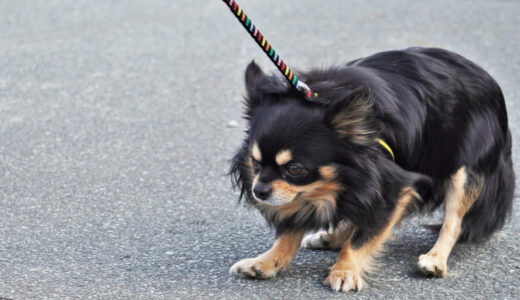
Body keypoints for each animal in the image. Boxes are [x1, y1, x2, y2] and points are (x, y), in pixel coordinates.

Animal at [228, 47, 512, 292]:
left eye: (295, 169)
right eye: (255, 162)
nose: (259, 191)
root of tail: (488, 80)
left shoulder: (393, 184)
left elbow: (362, 237)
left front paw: (345, 271)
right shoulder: (304, 193)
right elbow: (289, 232)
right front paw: (267, 261)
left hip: (464, 171)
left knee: (453, 223)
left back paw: (435, 259)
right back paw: (332, 237)